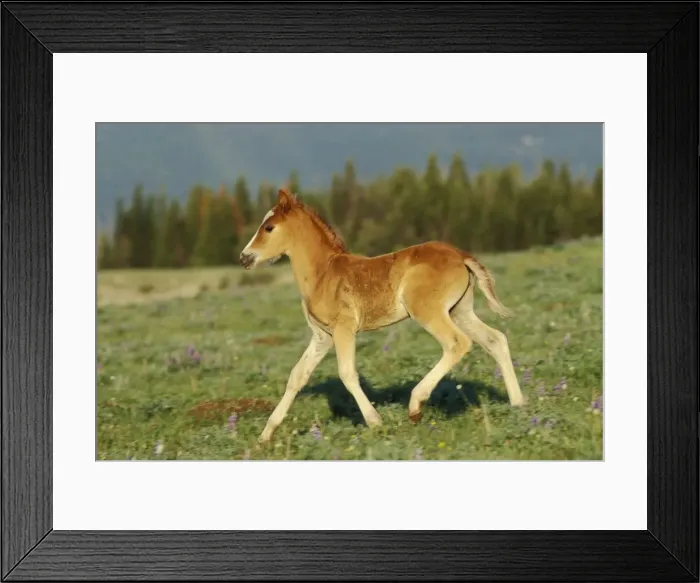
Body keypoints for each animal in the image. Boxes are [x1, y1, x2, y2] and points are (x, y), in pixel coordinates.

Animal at [240, 188, 525, 444]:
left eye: (268, 227)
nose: (244, 258)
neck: (323, 274)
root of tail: (460, 255)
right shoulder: (322, 336)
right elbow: (297, 376)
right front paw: (266, 435)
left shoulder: (344, 328)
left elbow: (347, 373)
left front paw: (375, 422)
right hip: (460, 311)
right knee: (495, 340)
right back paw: (518, 404)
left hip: (428, 311)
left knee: (457, 343)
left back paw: (415, 405)